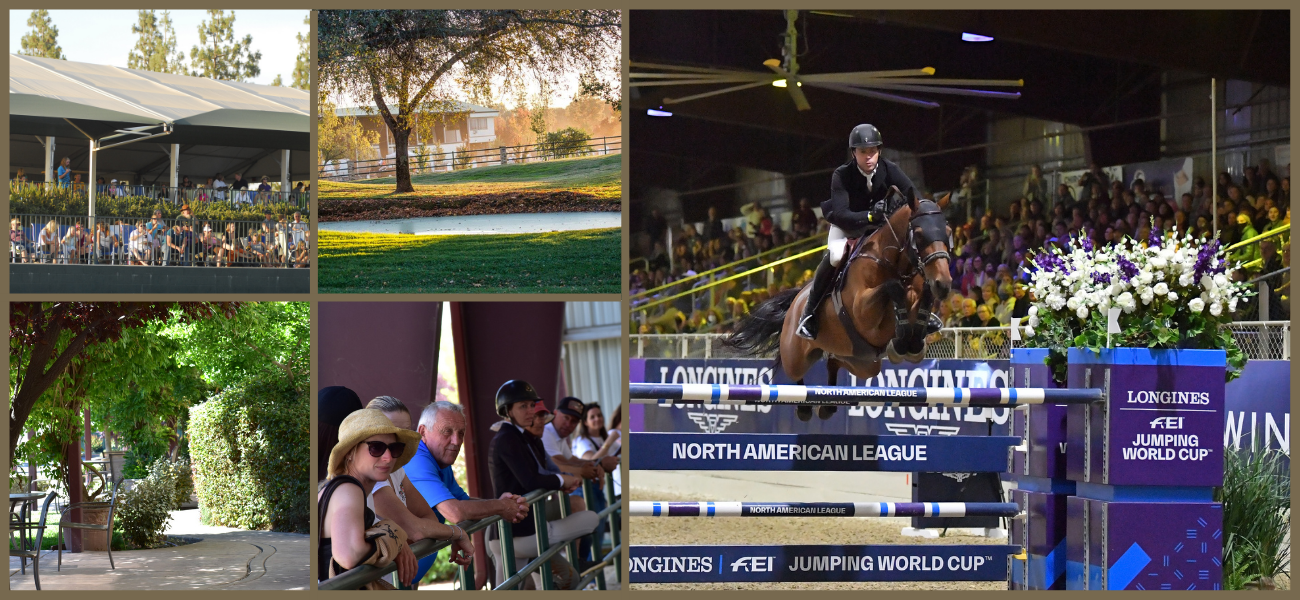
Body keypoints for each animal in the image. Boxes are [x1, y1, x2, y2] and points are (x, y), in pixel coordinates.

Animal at [728, 192, 951, 420]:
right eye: (920, 234)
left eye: (948, 232)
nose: (943, 284)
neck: (895, 264)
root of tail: (796, 299)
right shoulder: (863, 311)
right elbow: (892, 287)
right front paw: (901, 340)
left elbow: (922, 297)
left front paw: (913, 342)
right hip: (796, 355)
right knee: (794, 372)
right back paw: (804, 406)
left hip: (862, 360)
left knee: (834, 362)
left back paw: (827, 406)